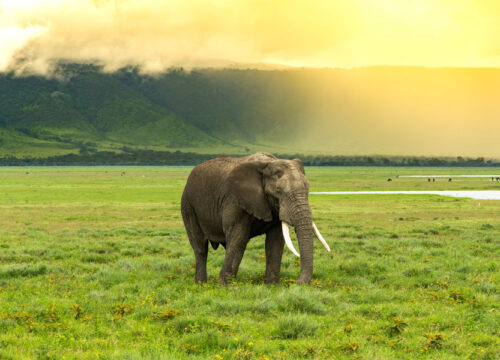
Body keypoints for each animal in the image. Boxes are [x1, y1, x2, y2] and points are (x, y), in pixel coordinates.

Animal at [182, 152, 330, 284]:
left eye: (308, 189)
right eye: (278, 191)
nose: (296, 283)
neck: (268, 163)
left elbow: (275, 241)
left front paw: (272, 286)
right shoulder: (235, 201)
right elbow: (239, 238)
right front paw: (226, 286)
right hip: (188, 205)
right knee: (200, 247)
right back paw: (201, 285)